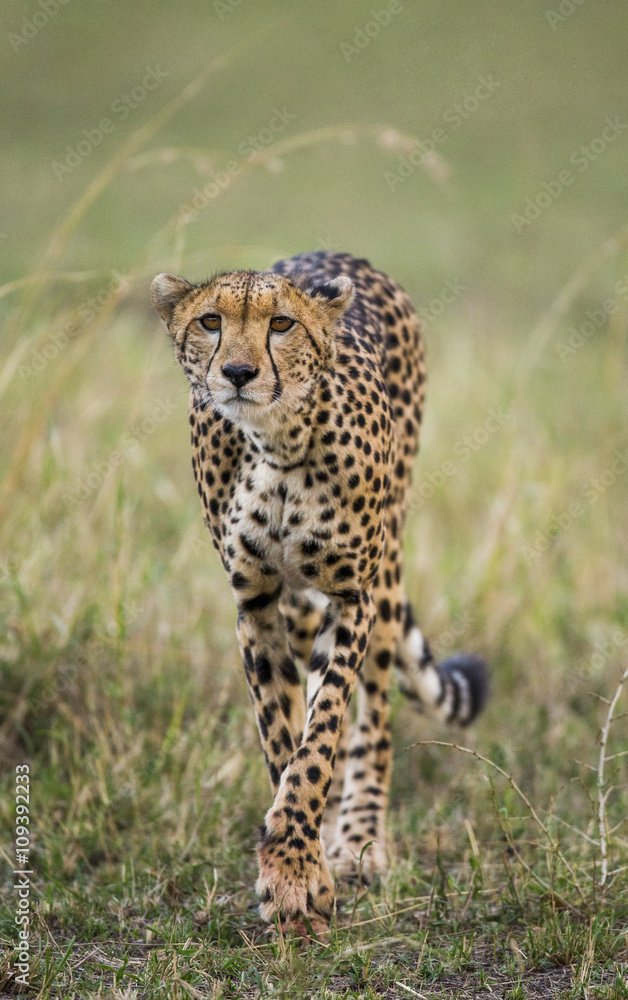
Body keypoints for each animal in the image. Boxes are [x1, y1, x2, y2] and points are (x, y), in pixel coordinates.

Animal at [151, 250, 488, 927]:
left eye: (281, 323)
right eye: (209, 321)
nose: (238, 372)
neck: (276, 445)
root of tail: (346, 257)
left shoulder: (351, 596)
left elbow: (324, 729)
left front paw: (301, 868)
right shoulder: (254, 602)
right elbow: (284, 737)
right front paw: (296, 867)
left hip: (384, 573)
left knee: (375, 716)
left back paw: (360, 839)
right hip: (301, 603)